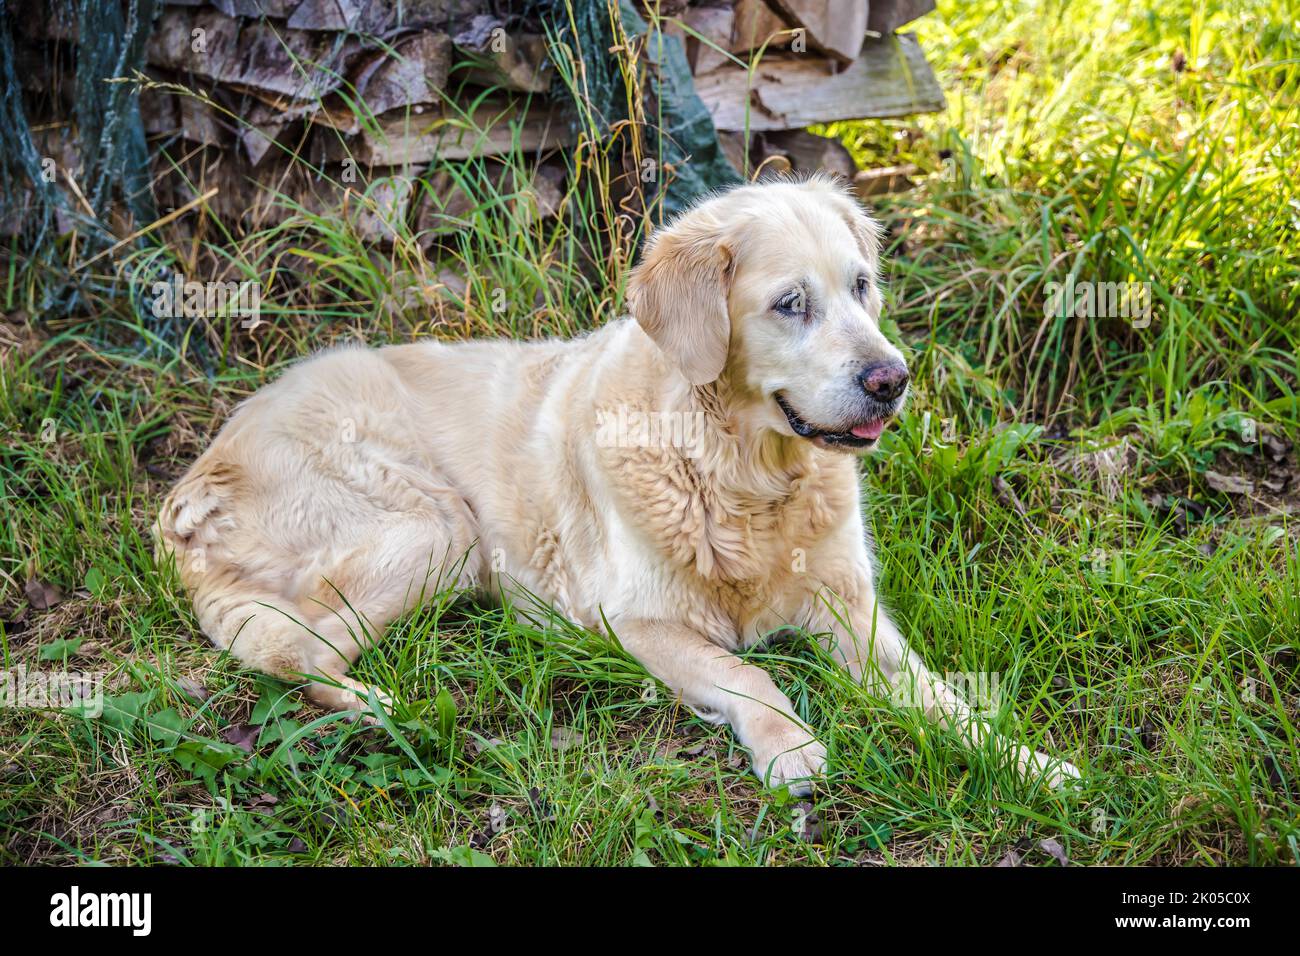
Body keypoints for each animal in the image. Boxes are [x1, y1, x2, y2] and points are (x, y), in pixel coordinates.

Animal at [157, 178, 1081, 790]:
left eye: (861, 286)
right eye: (791, 304)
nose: (893, 380)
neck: (743, 477)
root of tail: (194, 482)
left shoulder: (858, 619)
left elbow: (944, 699)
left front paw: (1030, 762)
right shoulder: (639, 623)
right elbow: (750, 674)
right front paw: (788, 744)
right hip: (437, 526)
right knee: (296, 652)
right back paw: (391, 708)